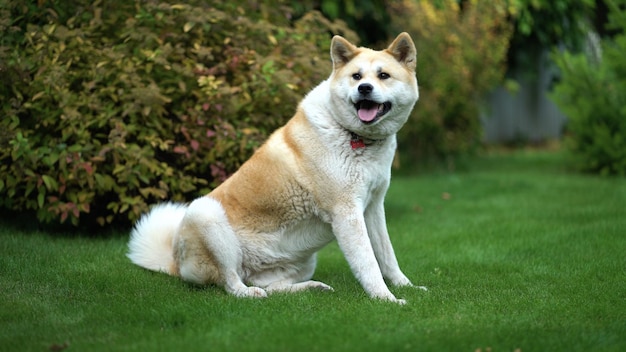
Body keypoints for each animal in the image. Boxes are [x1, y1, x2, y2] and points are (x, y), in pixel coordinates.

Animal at [125, 31, 424, 304]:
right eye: (357, 77)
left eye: (383, 75)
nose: (364, 89)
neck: (353, 136)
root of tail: (175, 264)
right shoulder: (347, 213)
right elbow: (368, 262)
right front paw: (385, 299)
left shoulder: (373, 208)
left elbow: (387, 255)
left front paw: (406, 286)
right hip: (206, 215)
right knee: (230, 282)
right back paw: (249, 293)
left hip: (301, 263)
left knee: (275, 288)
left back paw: (312, 287)